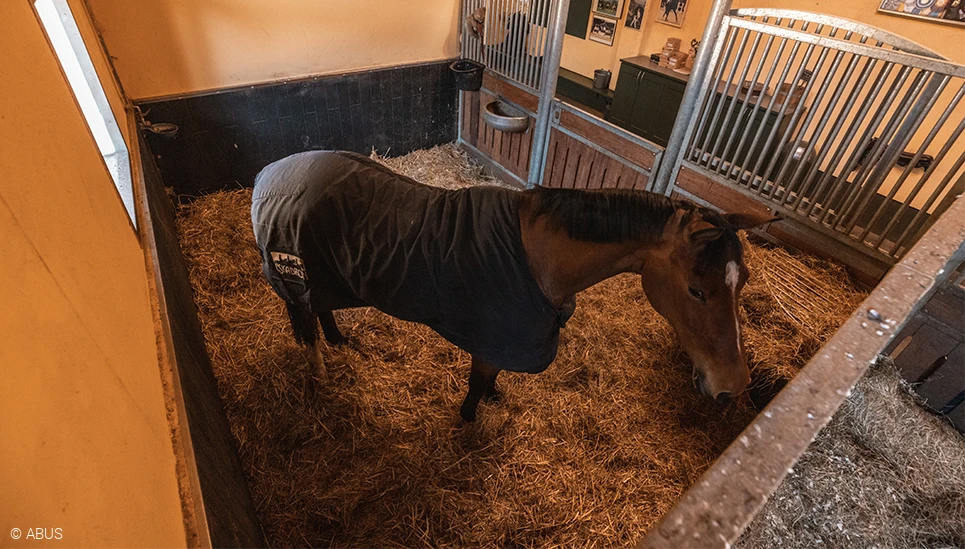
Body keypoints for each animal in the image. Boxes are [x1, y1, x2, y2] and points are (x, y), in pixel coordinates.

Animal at [251, 151, 778, 422]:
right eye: (697, 290)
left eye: (744, 283)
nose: (733, 386)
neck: (537, 259)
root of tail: (268, 173)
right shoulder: (491, 336)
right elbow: (477, 382)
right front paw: (469, 419)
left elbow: (494, 379)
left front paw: (494, 400)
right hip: (293, 271)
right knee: (304, 323)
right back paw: (321, 373)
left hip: (328, 273)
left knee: (322, 307)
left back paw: (340, 341)